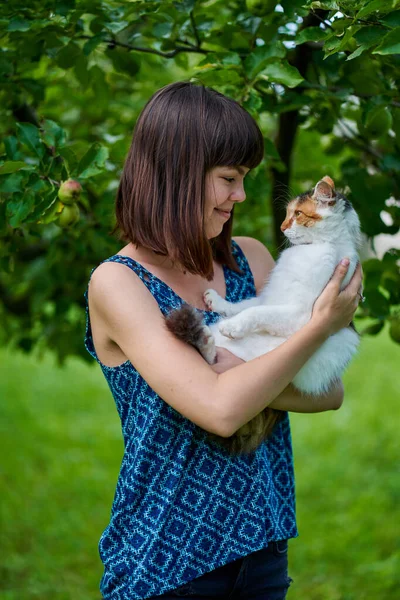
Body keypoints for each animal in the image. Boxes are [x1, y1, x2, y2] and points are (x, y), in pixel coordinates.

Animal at [166, 176, 362, 452]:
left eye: (298, 214)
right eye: (288, 213)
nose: (281, 227)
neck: (315, 248)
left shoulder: (301, 315)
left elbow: (257, 311)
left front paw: (233, 326)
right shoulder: (270, 296)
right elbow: (246, 304)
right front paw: (217, 301)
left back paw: (206, 340)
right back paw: (204, 338)